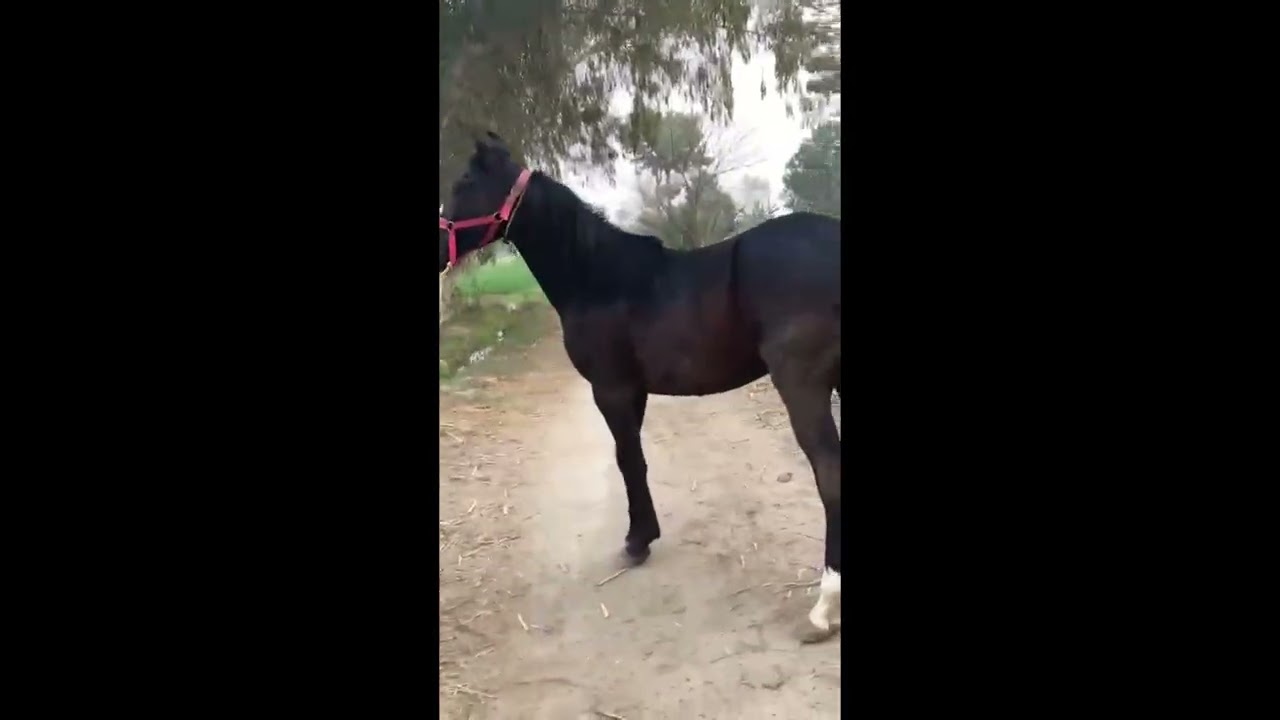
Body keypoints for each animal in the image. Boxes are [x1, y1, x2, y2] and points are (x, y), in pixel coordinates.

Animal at [439, 132, 842, 643]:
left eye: (465, 183)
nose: (436, 245)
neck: (599, 278)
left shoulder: (610, 389)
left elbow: (628, 460)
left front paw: (635, 542)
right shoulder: (635, 391)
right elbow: (633, 460)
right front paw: (643, 535)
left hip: (803, 385)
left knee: (830, 473)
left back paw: (825, 606)